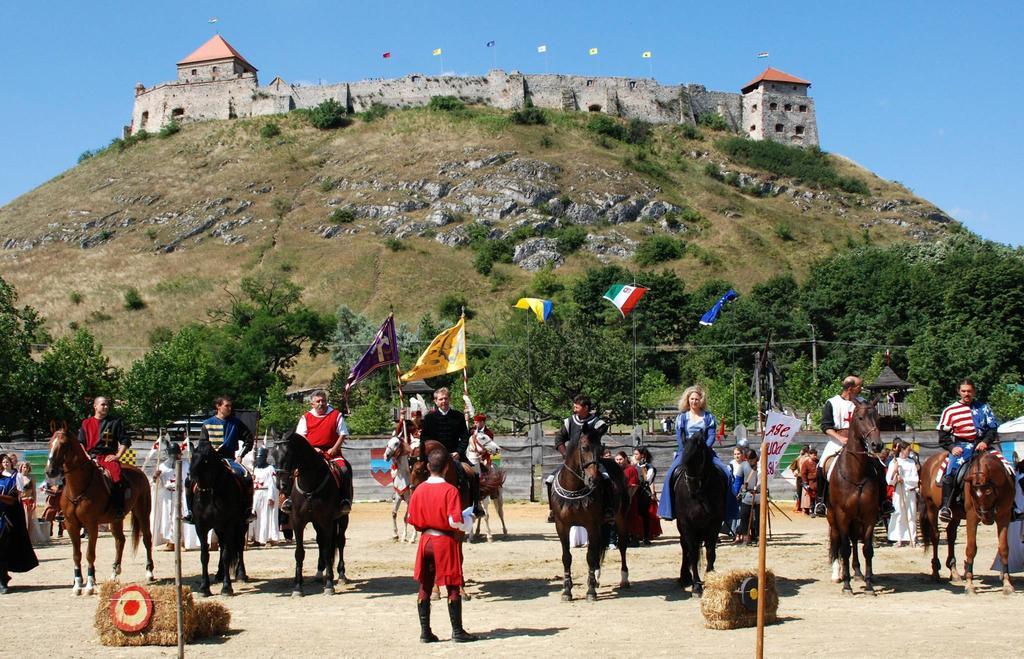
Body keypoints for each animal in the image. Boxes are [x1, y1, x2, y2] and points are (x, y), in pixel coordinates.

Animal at [43, 429, 153, 593]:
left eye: (63, 445)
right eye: (50, 443)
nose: (50, 471)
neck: (79, 486)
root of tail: (139, 472)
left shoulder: (91, 524)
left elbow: (90, 554)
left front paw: (89, 584)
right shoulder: (71, 525)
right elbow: (76, 555)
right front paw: (77, 584)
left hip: (142, 513)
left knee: (147, 539)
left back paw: (149, 572)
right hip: (115, 520)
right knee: (120, 540)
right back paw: (114, 573)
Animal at [548, 431, 626, 601]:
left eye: (600, 448)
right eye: (584, 447)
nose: (593, 479)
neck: (575, 488)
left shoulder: (591, 525)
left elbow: (590, 556)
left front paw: (590, 591)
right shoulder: (562, 526)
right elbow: (567, 557)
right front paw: (567, 590)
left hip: (620, 518)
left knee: (622, 547)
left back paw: (624, 579)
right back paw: (596, 578)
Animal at [827, 399, 884, 593]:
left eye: (878, 418)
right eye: (860, 418)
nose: (877, 445)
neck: (856, 473)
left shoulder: (869, 515)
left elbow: (867, 548)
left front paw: (868, 585)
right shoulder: (842, 515)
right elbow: (844, 548)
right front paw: (846, 585)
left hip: (856, 519)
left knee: (853, 540)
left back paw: (858, 572)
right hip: (833, 517)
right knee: (836, 540)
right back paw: (837, 574)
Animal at [958, 452, 1015, 597]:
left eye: (988, 491)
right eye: (972, 492)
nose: (985, 518)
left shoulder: (1004, 517)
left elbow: (1004, 548)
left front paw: (1007, 584)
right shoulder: (972, 516)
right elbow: (971, 548)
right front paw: (969, 585)